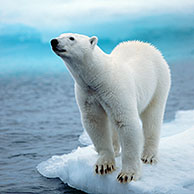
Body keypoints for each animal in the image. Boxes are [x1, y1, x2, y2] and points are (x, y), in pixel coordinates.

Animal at [50, 33, 171, 183]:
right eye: (60, 35)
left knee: (152, 116)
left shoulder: (115, 90)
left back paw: (148, 155)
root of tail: (148, 45)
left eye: (71, 38)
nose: (54, 41)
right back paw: (115, 148)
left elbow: (125, 122)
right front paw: (104, 165)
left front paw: (128, 174)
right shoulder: (88, 93)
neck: (100, 77)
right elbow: (95, 122)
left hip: (159, 82)